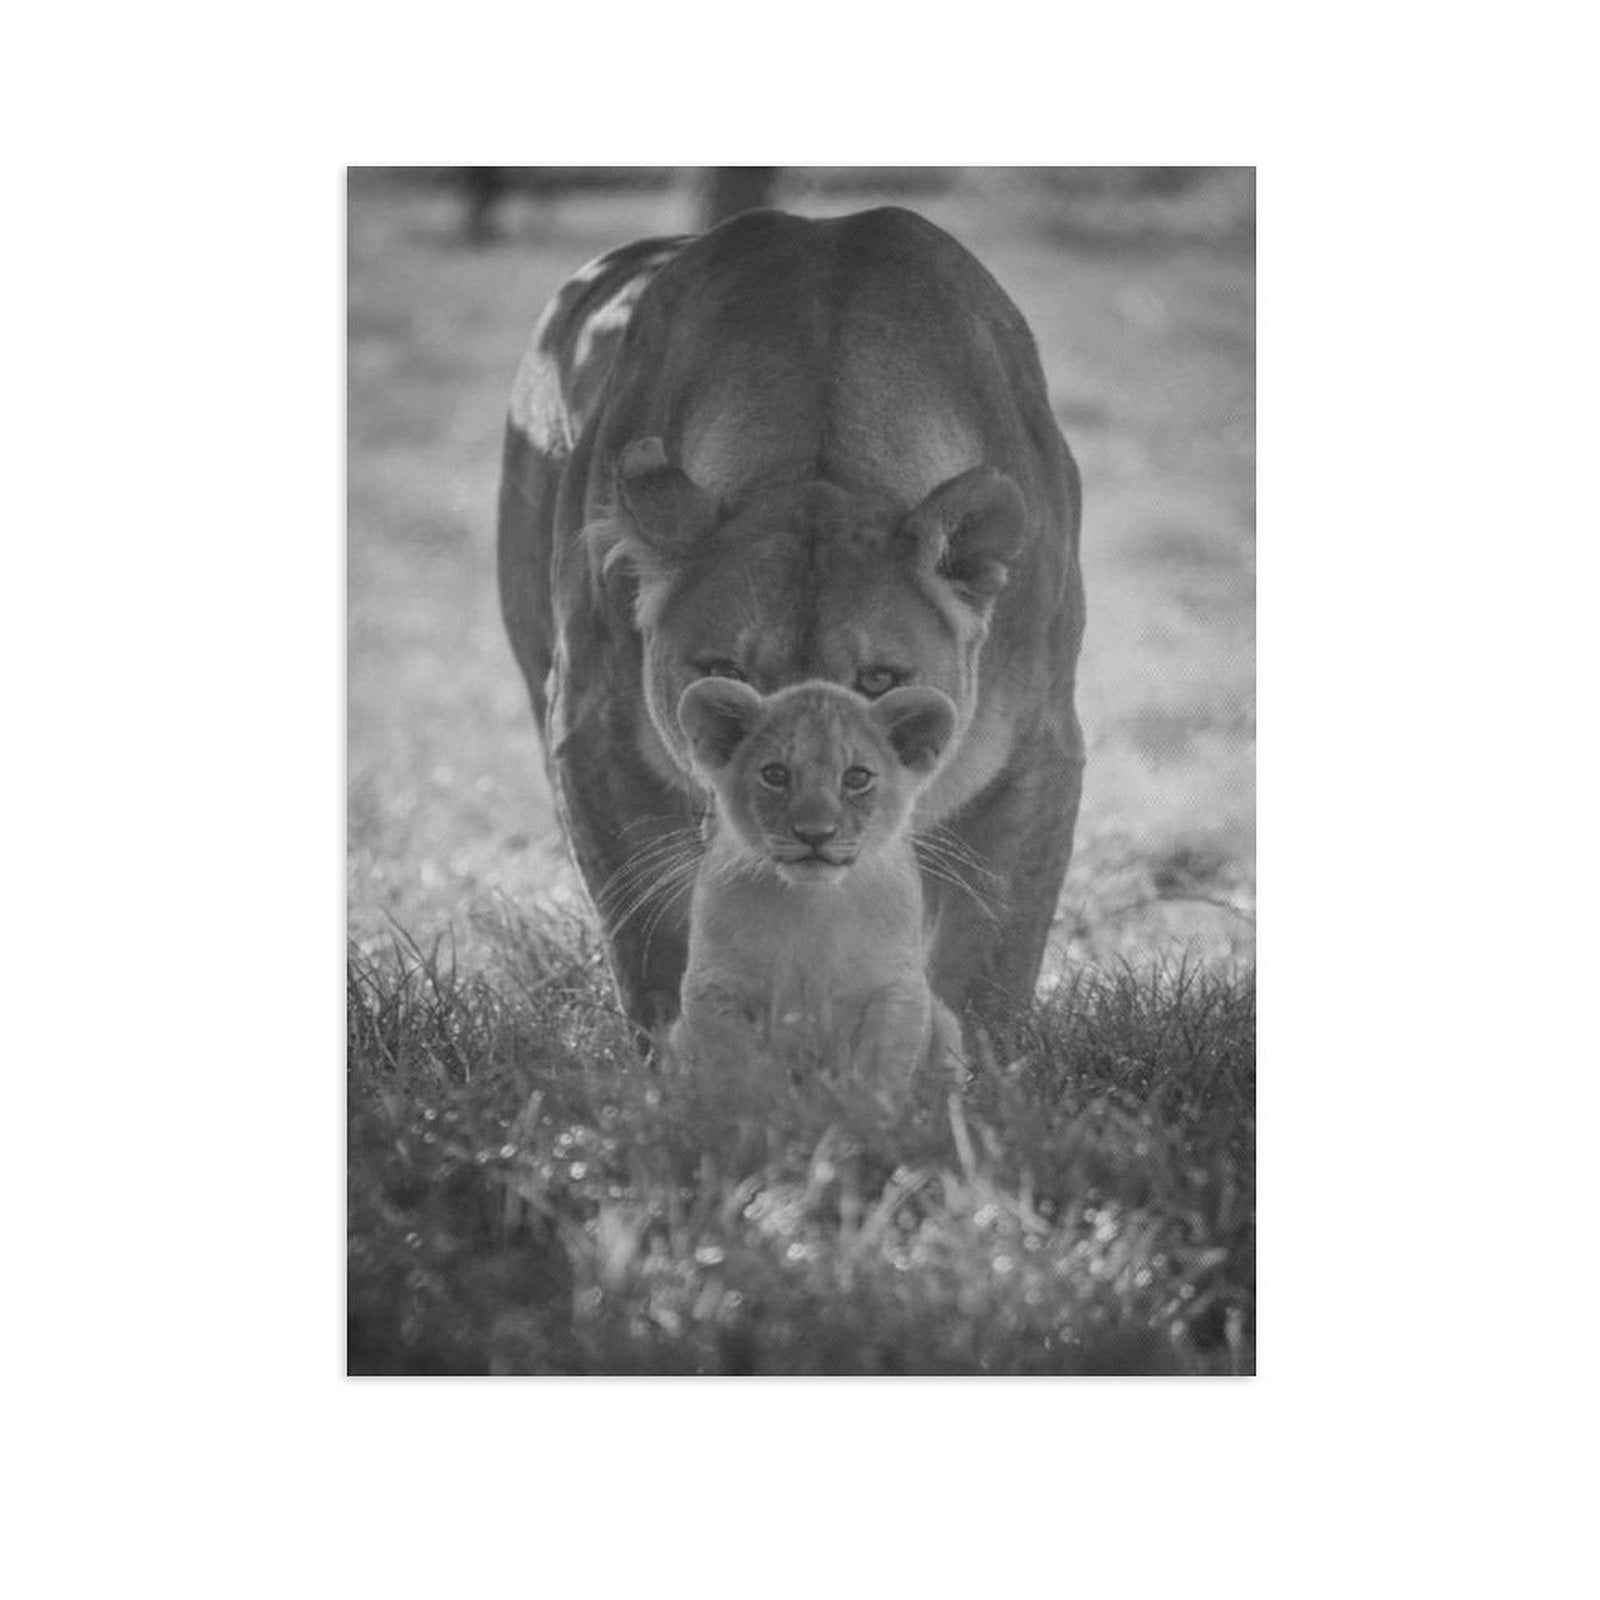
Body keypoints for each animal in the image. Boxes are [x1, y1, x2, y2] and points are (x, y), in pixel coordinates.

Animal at [498, 207, 1085, 1031]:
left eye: (879, 680)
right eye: (723, 673)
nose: (807, 818)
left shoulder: (1037, 752)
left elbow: (988, 974)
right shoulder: (591, 734)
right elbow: (655, 949)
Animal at [668, 677, 966, 1083]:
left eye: (857, 777)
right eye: (775, 775)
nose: (814, 834)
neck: (810, 902)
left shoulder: (895, 989)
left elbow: (876, 1074)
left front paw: (863, 1101)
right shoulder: (714, 986)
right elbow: (742, 1072)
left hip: (946, 1024)